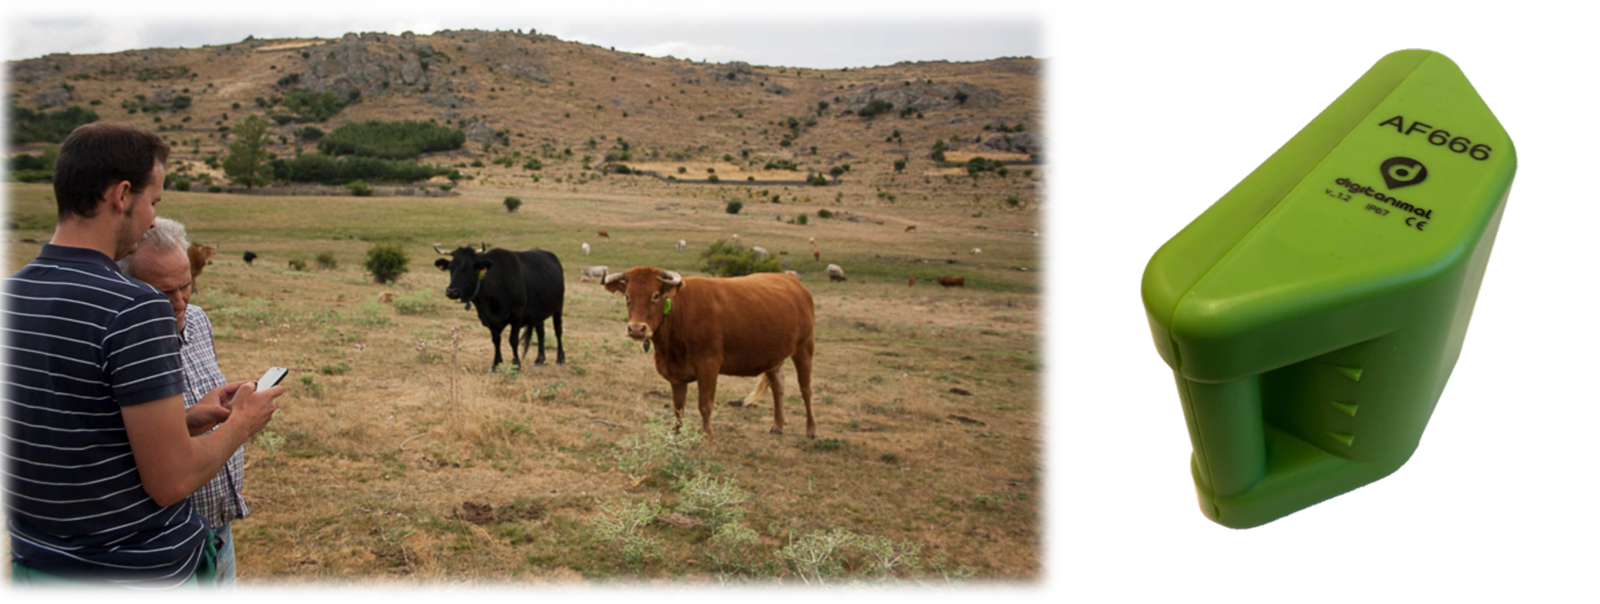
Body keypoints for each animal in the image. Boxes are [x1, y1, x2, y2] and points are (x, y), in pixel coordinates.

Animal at [435, 244, 566, 367]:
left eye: (468, 268)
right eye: (450, 268)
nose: (451, 291)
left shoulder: (517, 314)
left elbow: (513, 340)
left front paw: (516, 365)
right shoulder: (488, 318)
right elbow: (496, 340)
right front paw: (496, 364)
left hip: (559, 307)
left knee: (558, 331)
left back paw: (560, 359)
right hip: (538, 313)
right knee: (540, 332)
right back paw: (540, 359)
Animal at [604, 266, 819, 441]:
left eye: (656, 295)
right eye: (627, 297)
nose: (636, 329)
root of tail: (791, 280)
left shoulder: (708, 366)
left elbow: (705, 405)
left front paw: (707, 439)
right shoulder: (675, 374)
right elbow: (678, 407)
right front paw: (675, 435)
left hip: (804, 347)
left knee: (806, 389)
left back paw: (811, 430)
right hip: (773, 356)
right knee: (778, 386)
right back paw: (777, 426)